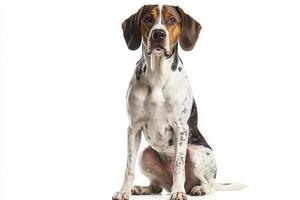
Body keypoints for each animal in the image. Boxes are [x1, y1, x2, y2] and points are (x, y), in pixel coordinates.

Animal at [112, 4, 244, 200]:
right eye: (148, 19)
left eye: (172, 20)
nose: (158, 34)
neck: (157, 75)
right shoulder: (133, 128)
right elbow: (129, 167)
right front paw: (124, 191)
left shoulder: (180, 128)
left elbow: (178, 167)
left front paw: (179, 192)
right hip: (145, 154)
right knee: (156, 186)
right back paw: (145, 188)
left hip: (195, 153)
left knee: (209, 184)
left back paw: (196, 189)